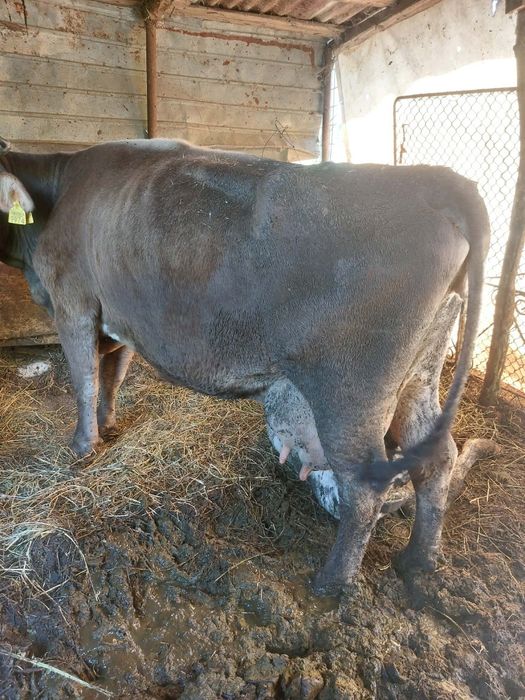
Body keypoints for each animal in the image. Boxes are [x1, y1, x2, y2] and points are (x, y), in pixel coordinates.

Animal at [0, 136, 489, 594]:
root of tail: (435, 178)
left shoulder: (73, 301)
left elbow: (83, 378)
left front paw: (83, 446)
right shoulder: (117, 314)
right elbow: (112, 376)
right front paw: (110, 425)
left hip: (352, 391)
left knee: (365, 486)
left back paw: (331, 583)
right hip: (421, 371)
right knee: (437, 459)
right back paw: (418, 560)